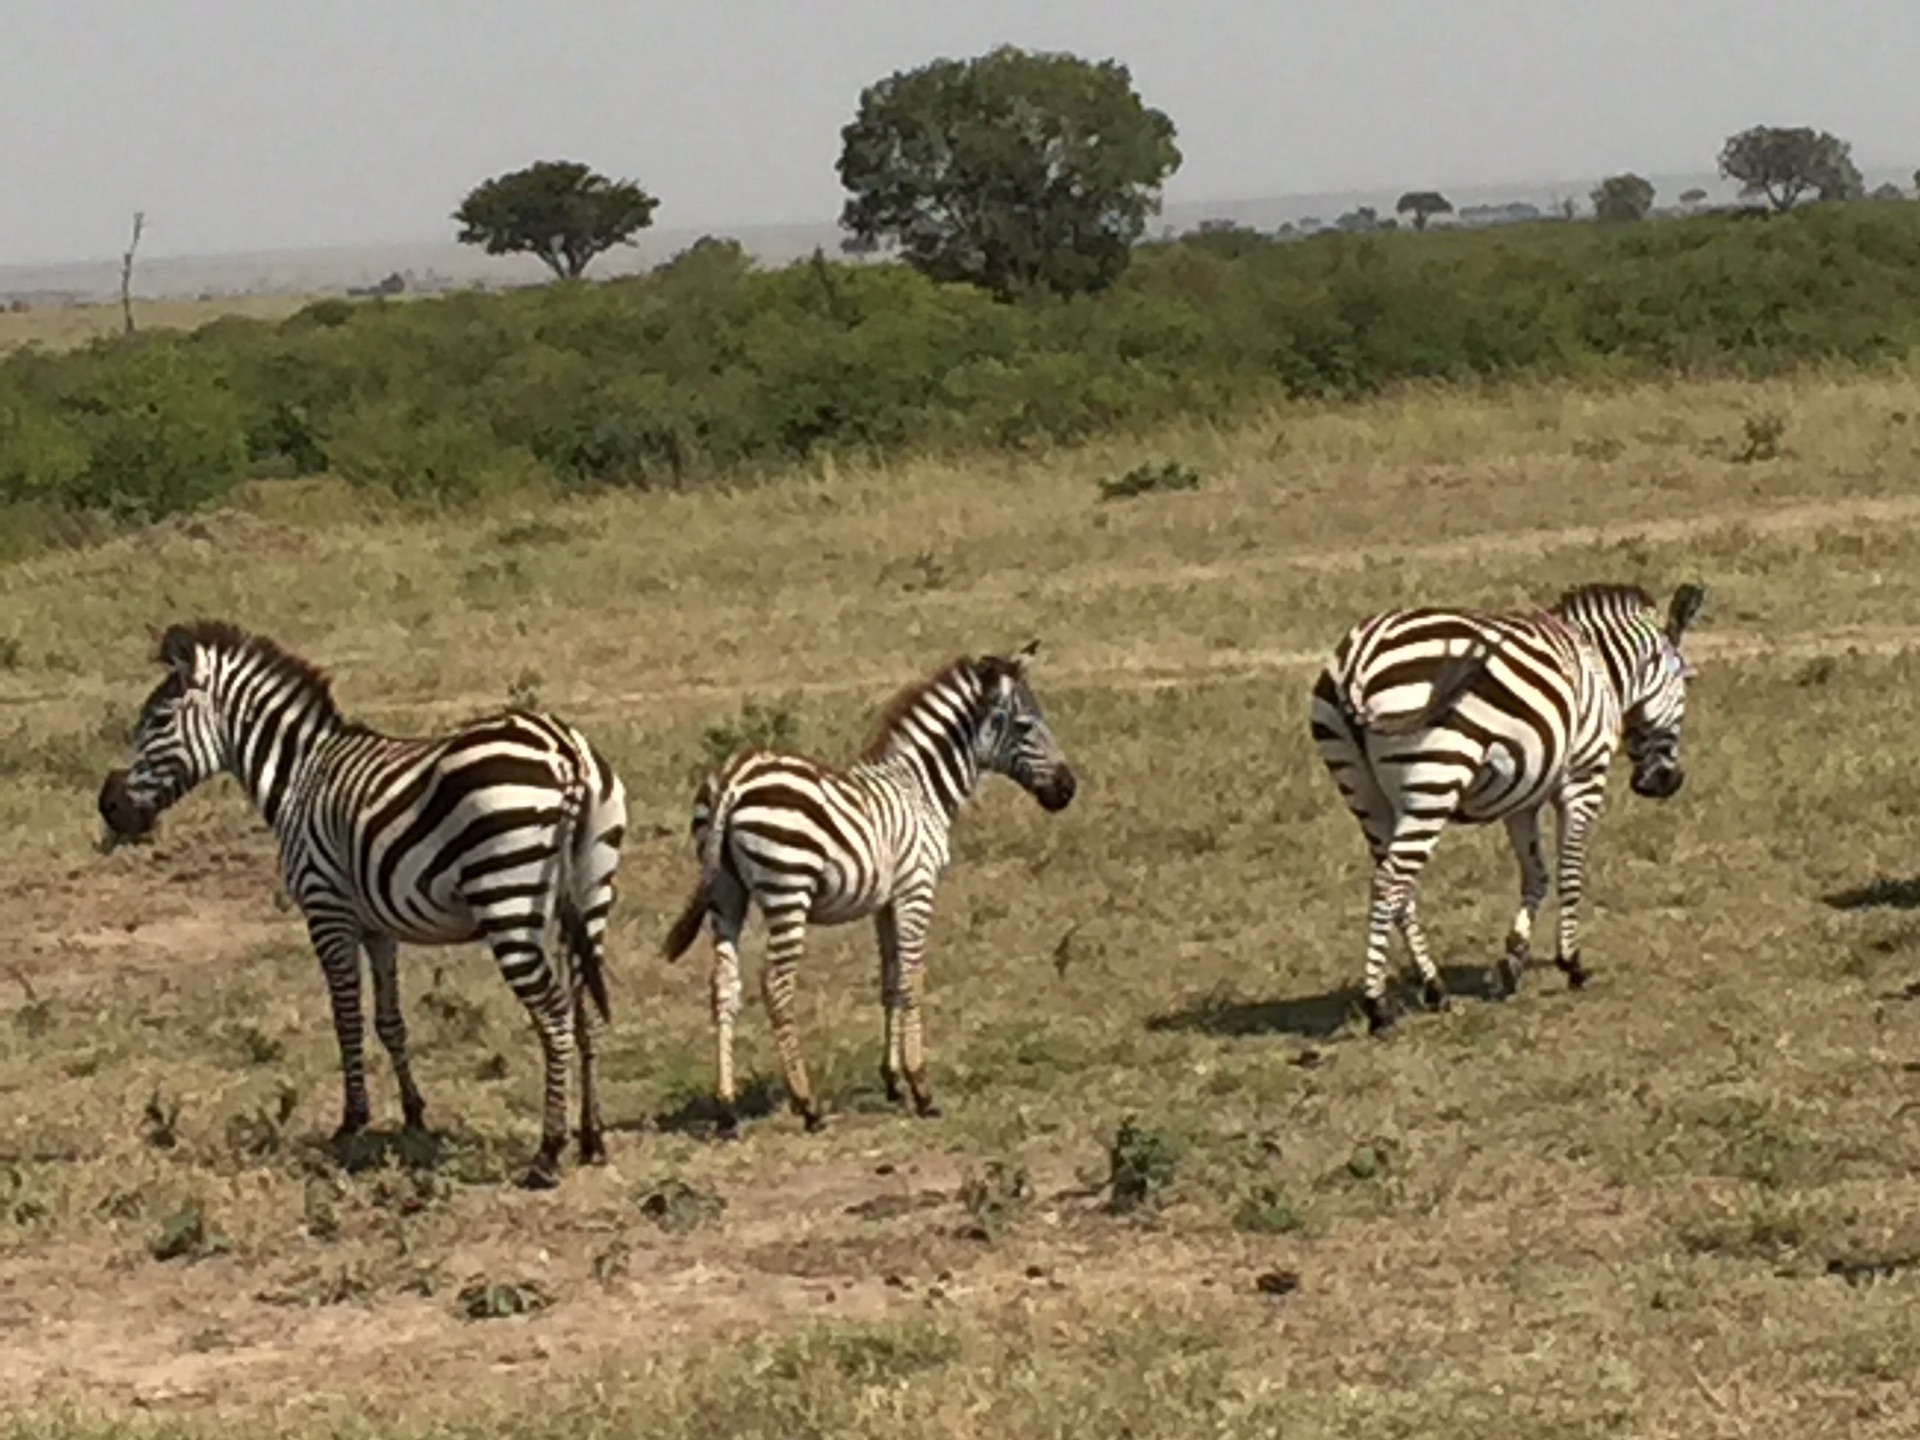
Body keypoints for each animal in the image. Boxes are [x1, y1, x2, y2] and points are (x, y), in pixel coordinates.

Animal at [97, 622, 625, 1198]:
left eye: (158, 721)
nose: (109, 807)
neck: (298, 778)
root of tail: (563, 750)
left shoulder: (326, 910)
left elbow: (345, 1017)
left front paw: (352, 1120)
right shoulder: (378, 926)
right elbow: (390, 1020)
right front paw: (414, 1113)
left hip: (507, 898)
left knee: (553, 1014)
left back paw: (547, 1153)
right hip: (589, 895)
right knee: (585, 1011)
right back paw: (593, 1138)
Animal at [660, 641, 1082, 1136]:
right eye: (1025, 725)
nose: (1068, 789)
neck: (921, 788)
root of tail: (734, 778)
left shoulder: (887, 899)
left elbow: (890, 979)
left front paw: (892, 1079)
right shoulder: (917, 888)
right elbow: (913, 979)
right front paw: (921, 1088)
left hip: (726, 892)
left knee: (724, 985)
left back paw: (726, 1109)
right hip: (788, 889)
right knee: (776, 984)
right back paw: (807, 1104)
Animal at [1313, 579, 1704, 1044]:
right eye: (1684, 688)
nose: (1665, 784)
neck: (1601, 666)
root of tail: (1358, 657)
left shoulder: (1524, 796)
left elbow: (1536, 874)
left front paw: (1513, 960)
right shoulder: (1583, 778)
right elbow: (1570, 872)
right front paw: (1571, 963)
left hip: (1363, 791)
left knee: (1396, 887)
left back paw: (1435, 988)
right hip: (1434, 780)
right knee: (1391, 882)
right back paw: (1378, 1009)